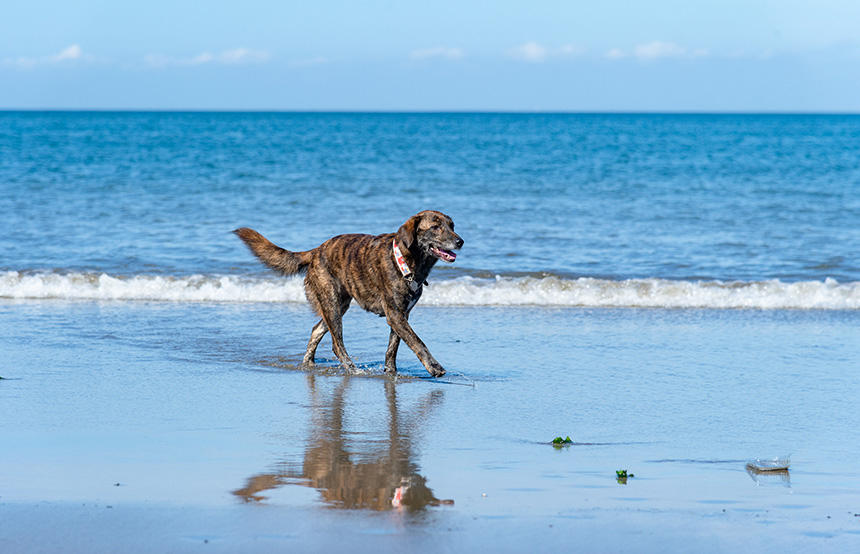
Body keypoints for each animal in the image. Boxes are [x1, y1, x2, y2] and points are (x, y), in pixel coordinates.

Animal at [233, 209, 464, 378]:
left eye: (452, 226)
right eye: (435, 227)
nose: (460, 241)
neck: (407, 260)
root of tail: (316, 251)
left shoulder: (401, 315)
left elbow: (393, 347)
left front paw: (391, 372)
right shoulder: (395, 315)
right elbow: (417, 342)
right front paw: (434, 367)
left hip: (337, 304)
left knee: (316, 330)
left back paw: (308, 363)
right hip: (332, 304)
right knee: (337, 344)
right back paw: (353, 370)